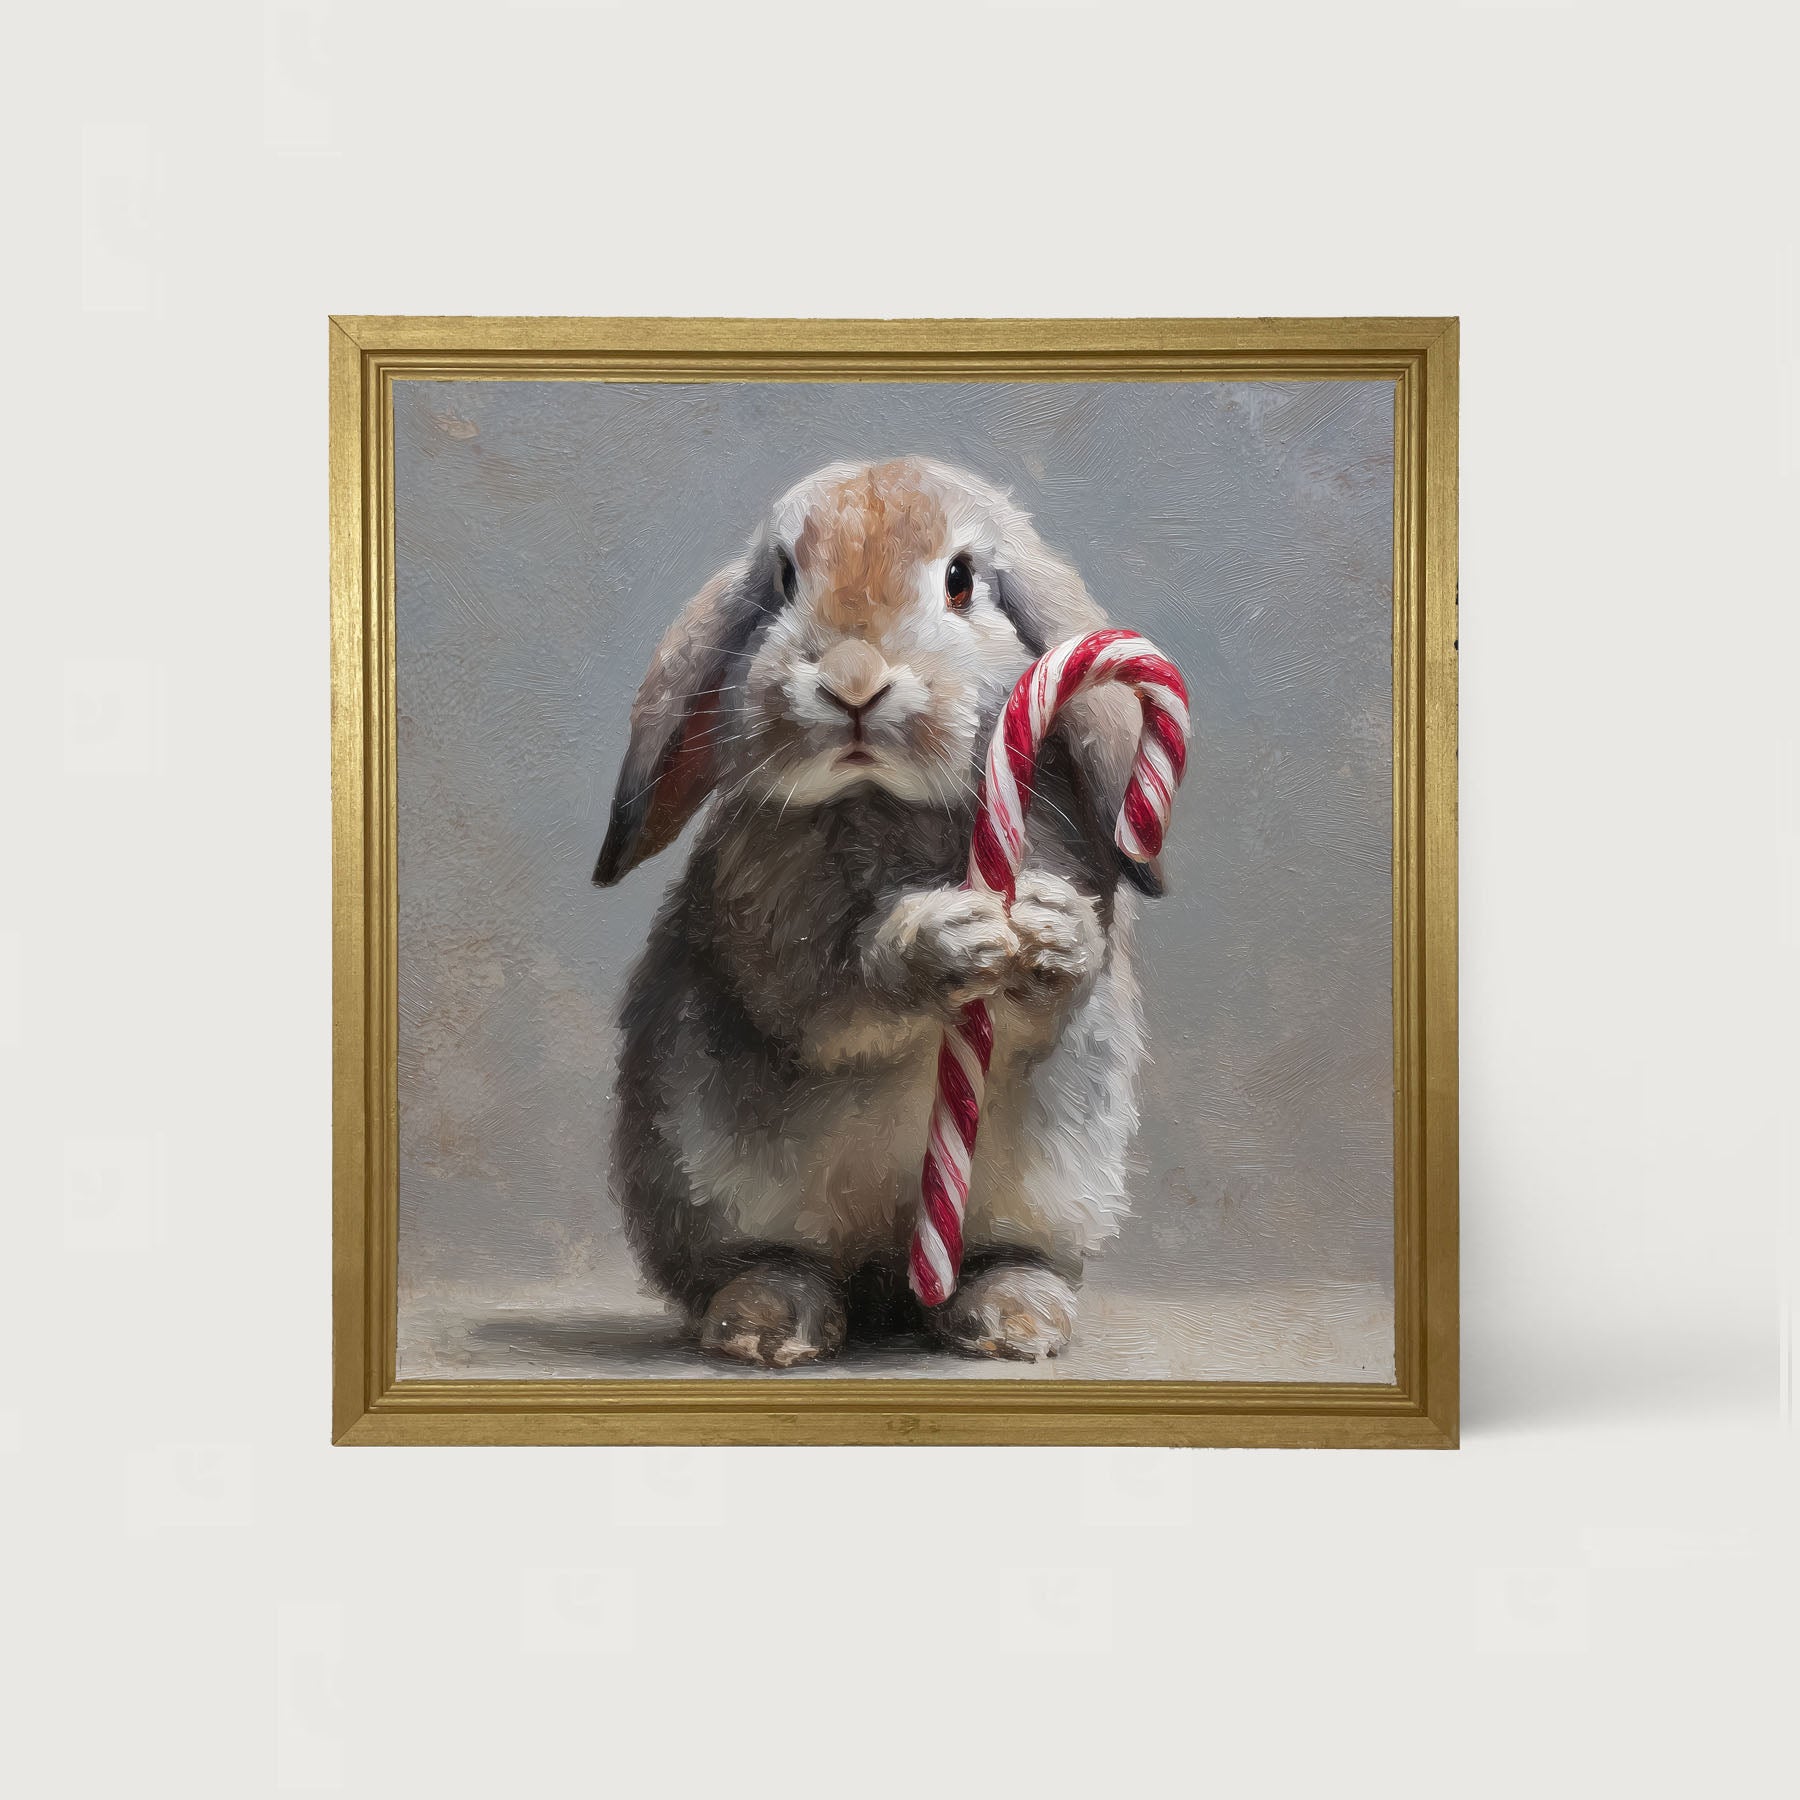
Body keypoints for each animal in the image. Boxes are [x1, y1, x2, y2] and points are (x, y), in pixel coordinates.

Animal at [592, 457, 1169, 1367]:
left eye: (961, 580)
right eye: (786, 580)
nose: (853, 683)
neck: (893, 802)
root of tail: (888, 1281)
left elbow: (1057, 989)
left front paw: (1049, 929)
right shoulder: (773, 930)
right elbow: (832, 994)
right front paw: (945, 937)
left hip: (1060, 1180)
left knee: (1011, 1257)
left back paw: (1013, 1320)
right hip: (707, 1180)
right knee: (766, 1263)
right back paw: (766, 1325)